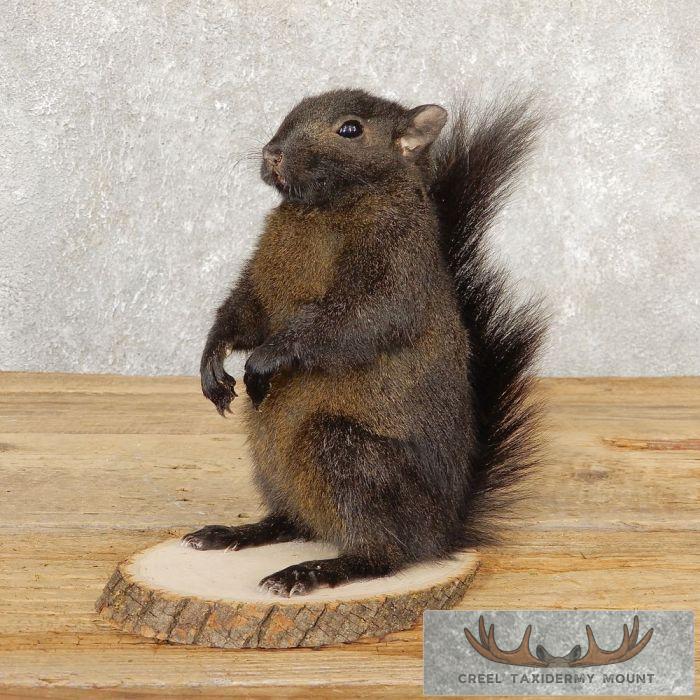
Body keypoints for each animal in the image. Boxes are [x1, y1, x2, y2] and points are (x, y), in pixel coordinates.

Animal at [182, 89, 545, 597]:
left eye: (350, 129)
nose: (273, 153)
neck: (321, 210)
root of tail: (440, 532)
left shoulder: (393, 271)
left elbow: (348, 325)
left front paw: (264, 362)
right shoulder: (258, 284)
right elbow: (242, 314)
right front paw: (212, 361)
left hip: (349, 457)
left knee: (382, 555)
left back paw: (312, 571)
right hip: (272, 464)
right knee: (294, 523)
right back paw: (237, 533)